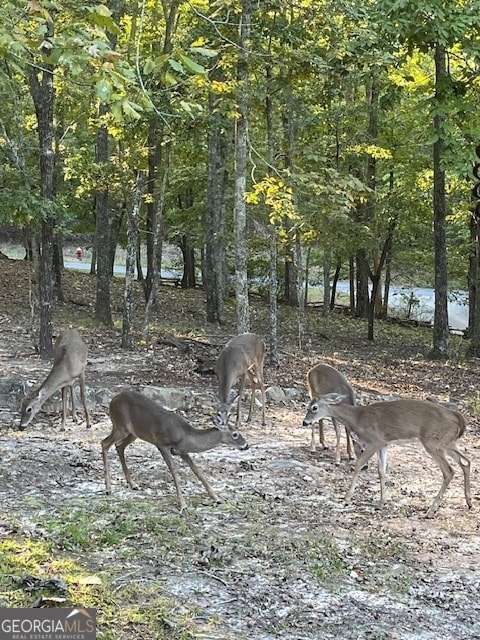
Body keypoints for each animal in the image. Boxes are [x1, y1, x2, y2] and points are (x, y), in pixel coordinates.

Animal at [102, 390, 249, 510]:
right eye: (235, 434)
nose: (246, 445)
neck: (184, 436)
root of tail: (113, 400)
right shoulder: (162, 444)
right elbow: (174, 469)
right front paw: (183, 504)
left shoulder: (182, 451)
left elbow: (197, 470)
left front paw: (217, 498)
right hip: (120, 426)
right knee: (104, 443)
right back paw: (108, 488)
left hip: (134, 433)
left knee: (119, 446)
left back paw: (133, 484)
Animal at [304, 392, 472, 516]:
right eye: (308, 406)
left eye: (314, 407)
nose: (305, 422)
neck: (358, 418)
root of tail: (457, 417)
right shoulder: (384, 444)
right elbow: (382, 471)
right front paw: (381, 503)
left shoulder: (374, 441)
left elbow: (358, 465)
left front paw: (347, 498)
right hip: (448, 443)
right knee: (466, 462)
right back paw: (469, 502)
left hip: (433, 442)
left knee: (449, 471)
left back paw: (431, 510)